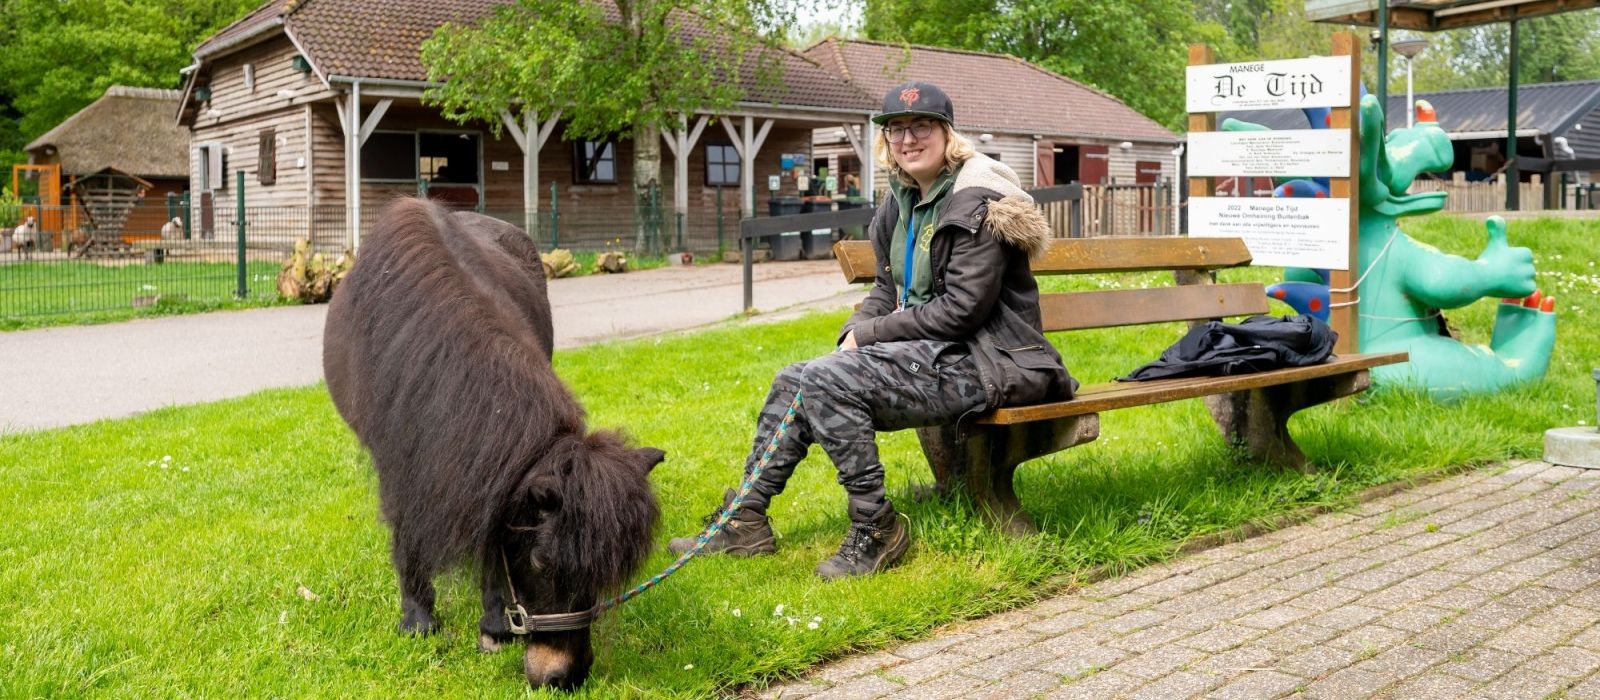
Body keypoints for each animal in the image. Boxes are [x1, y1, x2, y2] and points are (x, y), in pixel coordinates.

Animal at [324, 196, 662, 690]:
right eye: (541, 564)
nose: (564, 676)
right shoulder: (398, 462)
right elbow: (407, 531)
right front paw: (419, 620)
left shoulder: (490, 475)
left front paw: (494, 626)